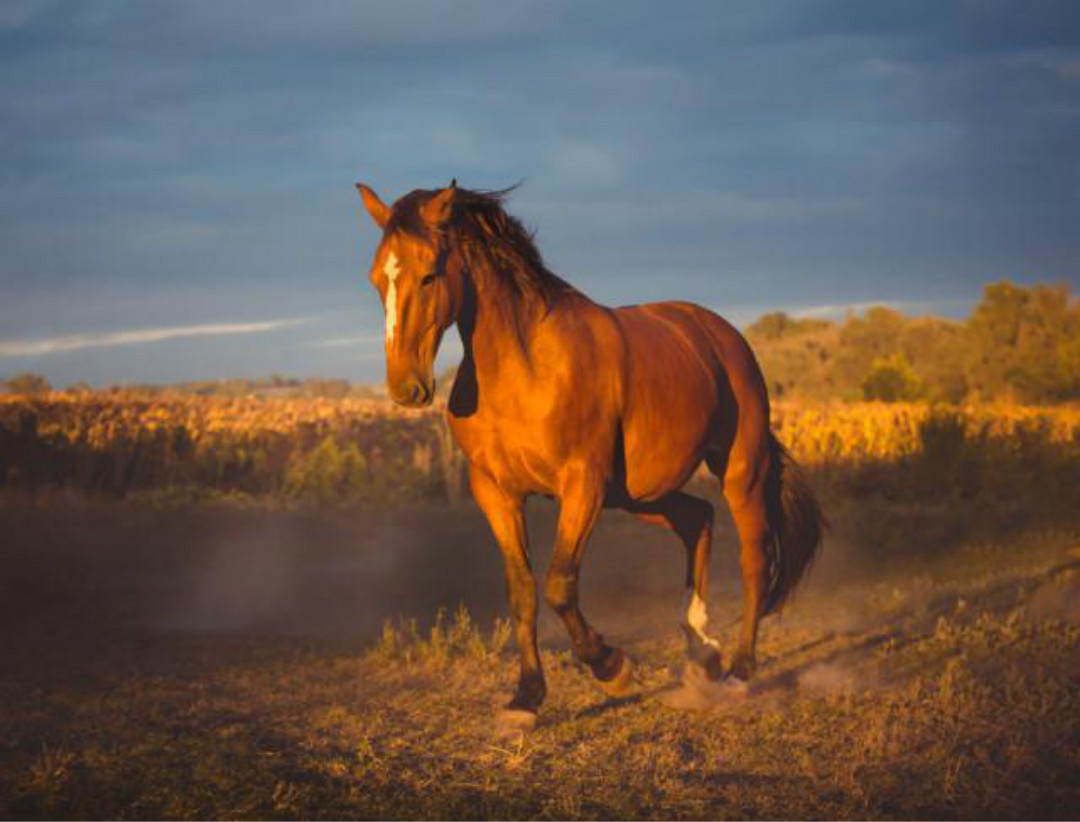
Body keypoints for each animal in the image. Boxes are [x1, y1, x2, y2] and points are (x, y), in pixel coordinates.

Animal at [358, 181, 820, 730]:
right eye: (376, 278)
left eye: (429, 274)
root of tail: (722, 335)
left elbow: (559, 583)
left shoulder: (582, 485)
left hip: (738, 472)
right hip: (640, 495)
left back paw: (738, 670)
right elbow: (522, 591)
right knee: (698, 519)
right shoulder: (496, 492)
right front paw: (526, 698)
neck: (525, 368)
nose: (406, 388)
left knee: (755, 557)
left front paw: (611, 667)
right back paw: (702, 648)